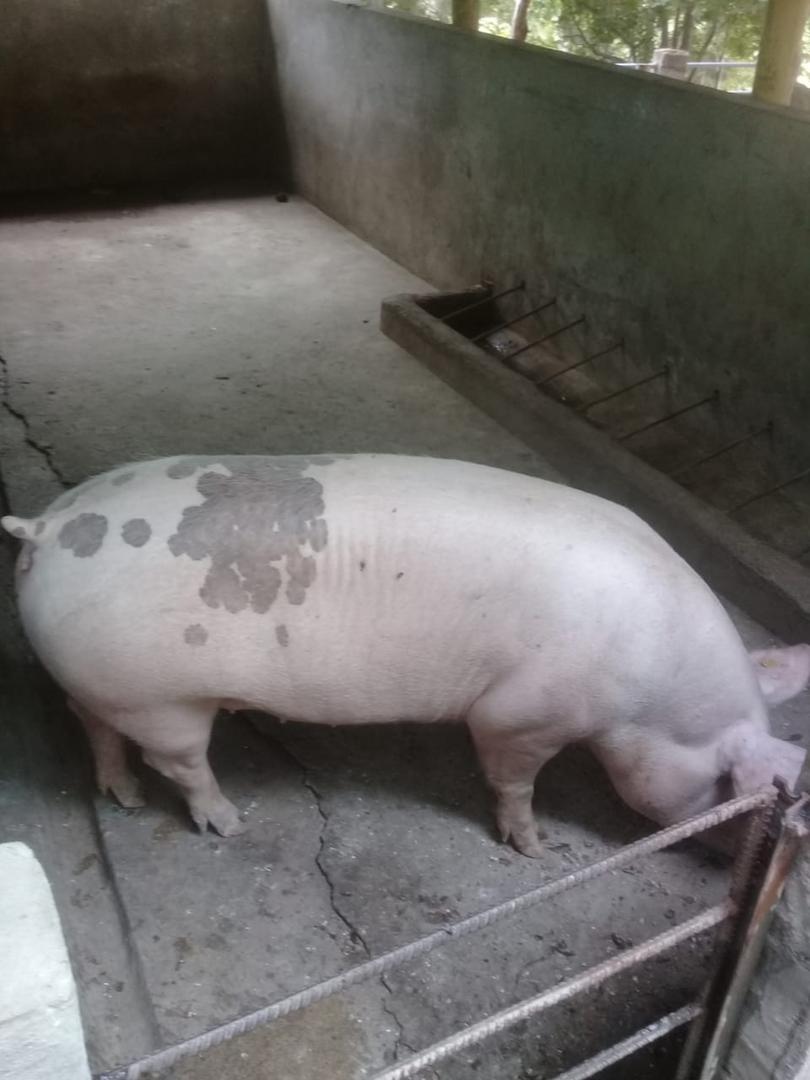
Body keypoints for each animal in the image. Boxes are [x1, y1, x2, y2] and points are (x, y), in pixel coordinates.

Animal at [2, 454, 807, 857]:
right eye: (726, 782)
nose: (725, 853)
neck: (652, 701)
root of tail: (47, 524)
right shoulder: (523, 712)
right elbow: (512, 776)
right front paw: (536, 847)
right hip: (158, 697)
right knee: (180, 762)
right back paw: (229, 823)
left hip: (104, 684)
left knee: (93, 724)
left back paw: (125, 798)